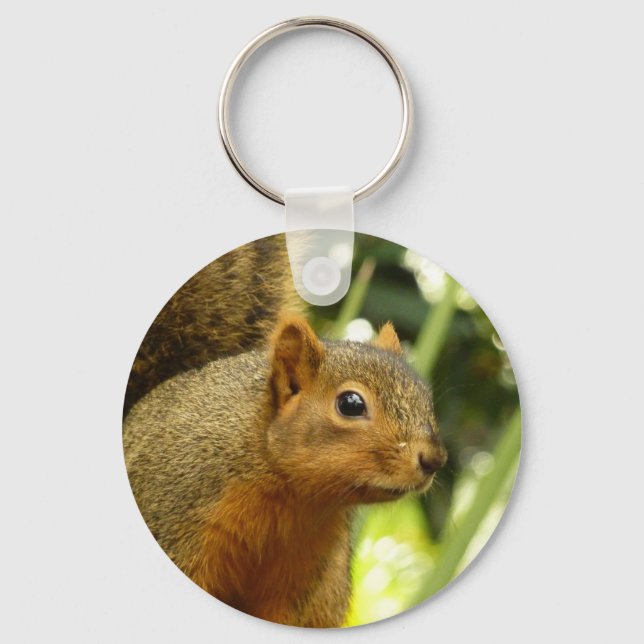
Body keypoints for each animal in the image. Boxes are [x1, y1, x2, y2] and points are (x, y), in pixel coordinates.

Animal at [123, 234, 447, 628]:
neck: (292, 498)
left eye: (425, 396)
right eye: (350, 404)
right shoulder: (177, 514)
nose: (434, 459)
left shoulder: (305, 575)